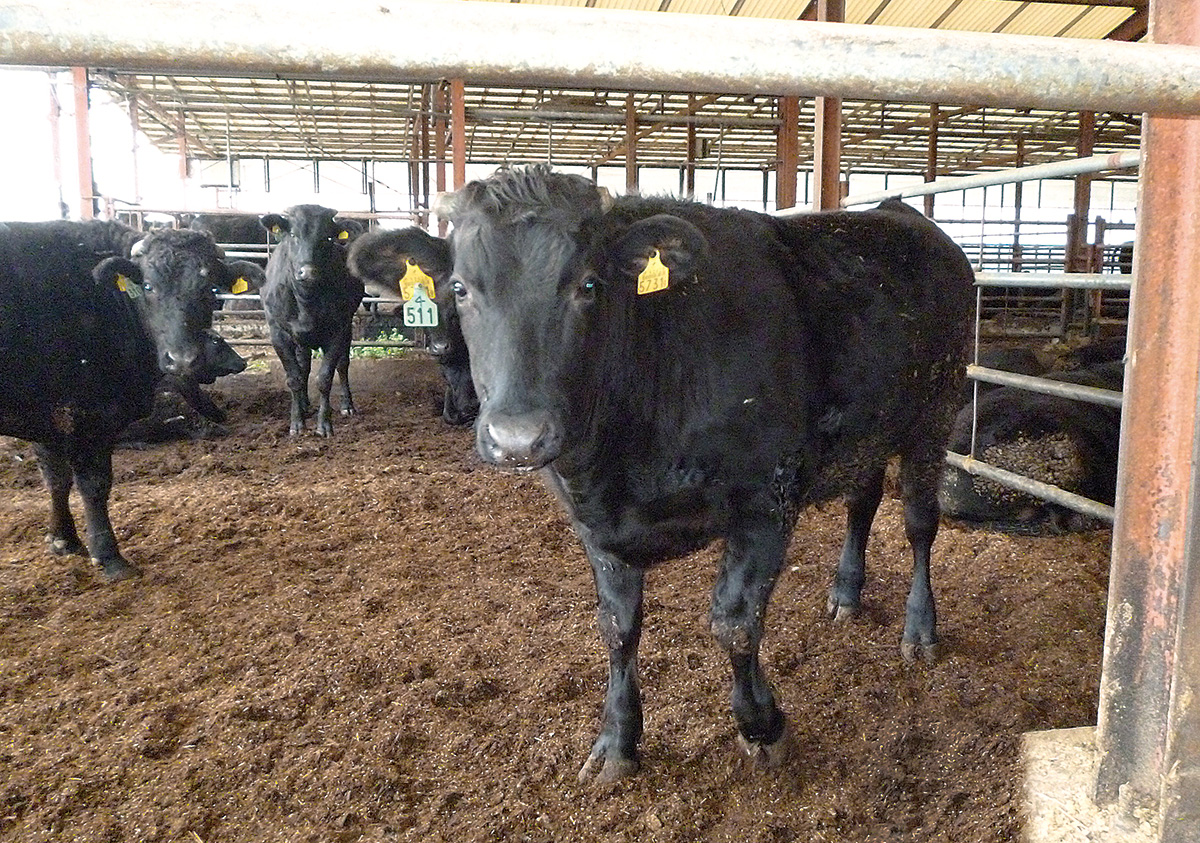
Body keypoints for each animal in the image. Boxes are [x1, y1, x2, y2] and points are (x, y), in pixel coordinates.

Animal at [0, 220, 265, 583]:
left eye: (210, 289)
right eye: (148, 286)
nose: (182, 360)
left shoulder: (48, 416)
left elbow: (56, 478)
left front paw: (63, 540)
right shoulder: (87, 415)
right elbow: (93, 485)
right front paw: (109, 557)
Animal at [256, 204, 360, 437]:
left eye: (327, 237)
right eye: (293, 234)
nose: (308, 272)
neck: (306, 301)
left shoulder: (338, 330)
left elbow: (325, 378)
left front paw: (324, 425)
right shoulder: (278, 333)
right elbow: (294, 378)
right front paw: (296, 423)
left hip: (348, 325)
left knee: (343, 364)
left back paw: (346, 405)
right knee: (303, 365)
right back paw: (303, 405)